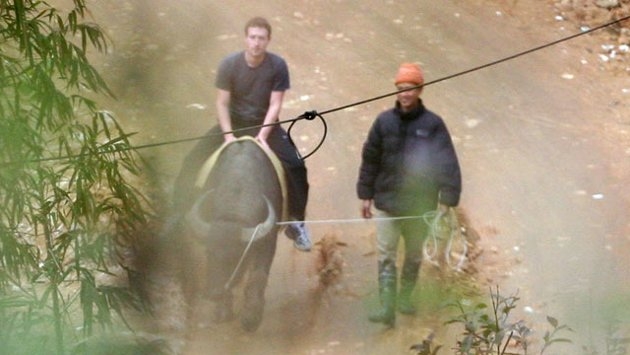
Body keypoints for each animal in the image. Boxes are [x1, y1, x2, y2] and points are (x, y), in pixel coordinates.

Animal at [184, 137, 286, 334]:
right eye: (209, 253)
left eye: (236, 257)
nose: (213, 293)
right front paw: (223, 311)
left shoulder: (268, 241)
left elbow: (258, 275)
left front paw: (251, 318)